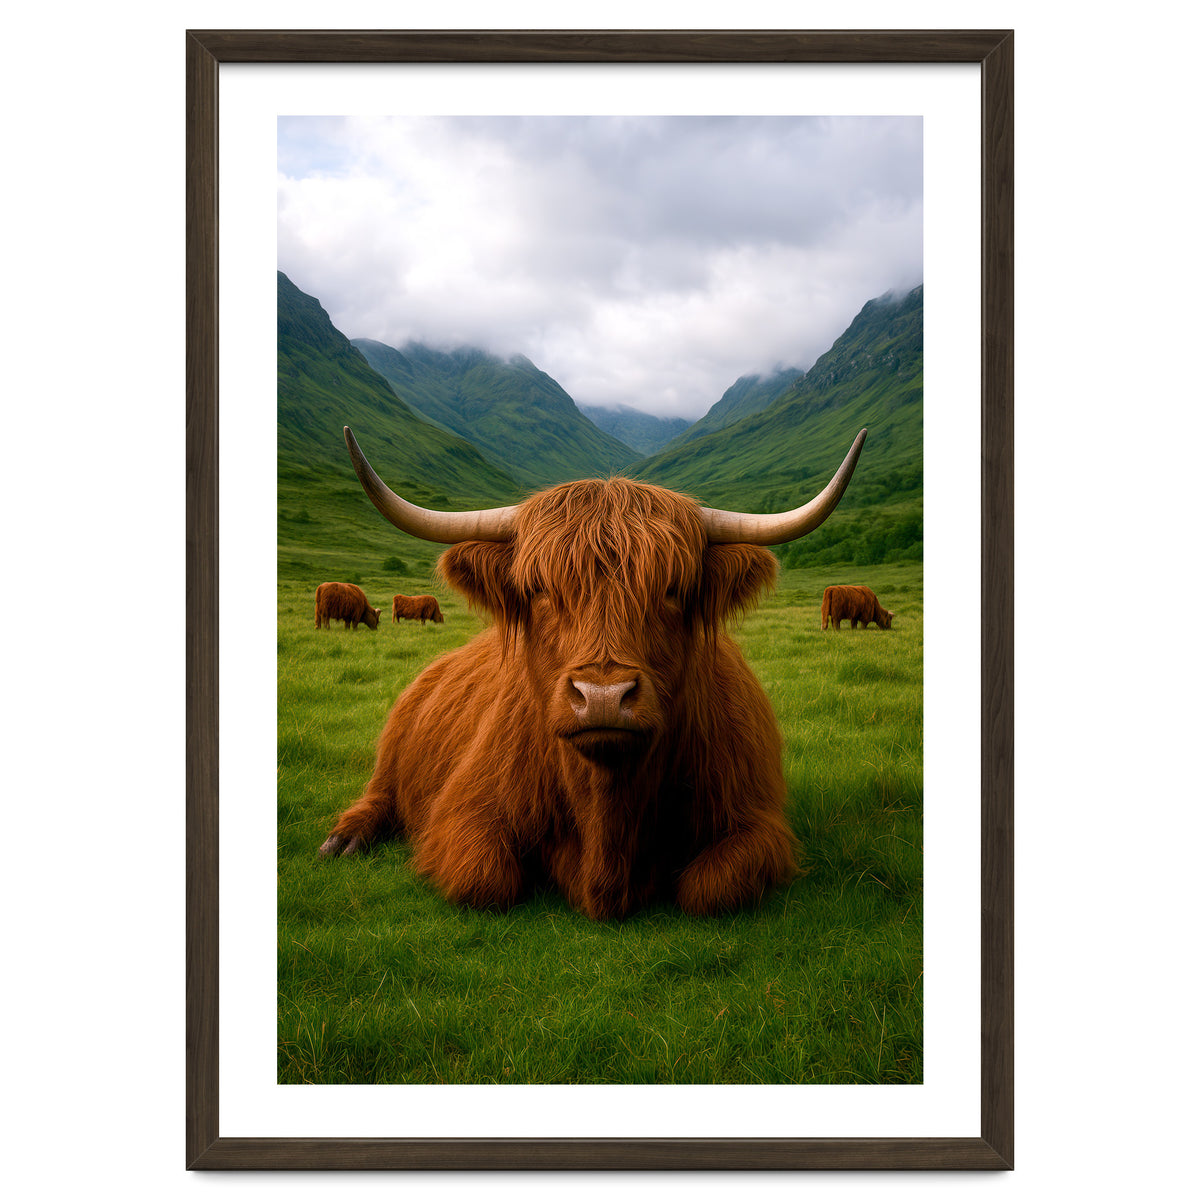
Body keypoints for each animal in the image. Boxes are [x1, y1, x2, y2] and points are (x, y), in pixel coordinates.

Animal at [320, 425, 867, 919]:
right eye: (539, 589)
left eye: (673, 590)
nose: (603, 696)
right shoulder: (463, 811)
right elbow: (485, 879)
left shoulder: (756, 821)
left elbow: (709, 889)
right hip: (393, 751)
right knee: (380, 794)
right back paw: (344, 840)